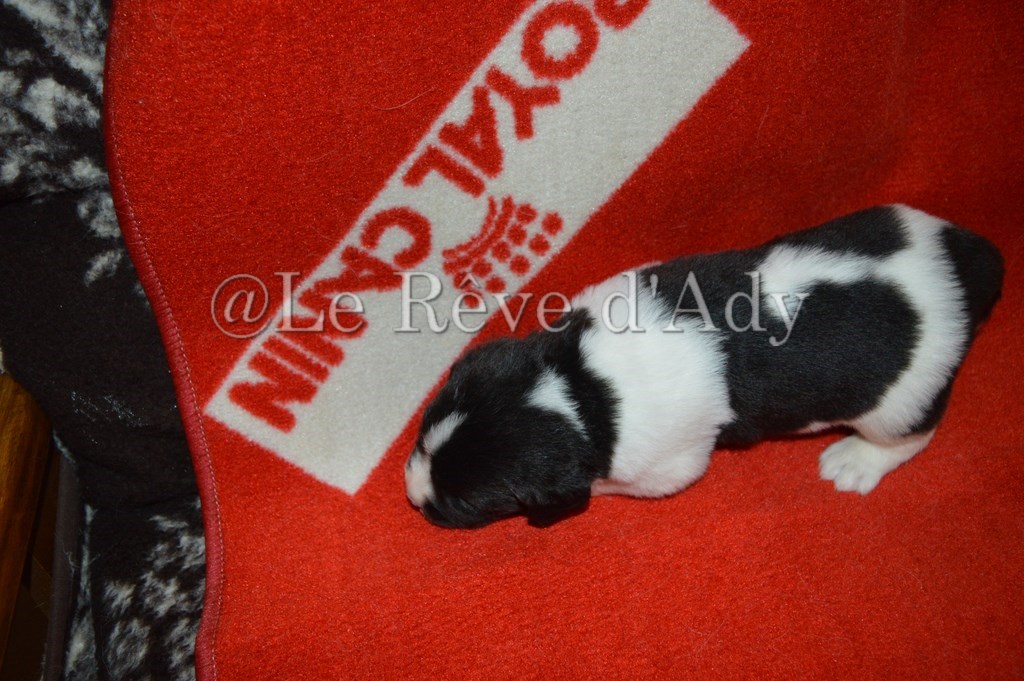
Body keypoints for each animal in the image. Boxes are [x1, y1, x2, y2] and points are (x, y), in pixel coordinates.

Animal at [405, 205, 1003, 528]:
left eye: (464, 502)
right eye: (420, 435)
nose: (412, 494)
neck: (578, 387)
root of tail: (966, 266)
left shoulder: (666, 464)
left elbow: (617, 482)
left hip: (903, 397)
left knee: (910, 436)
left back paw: (856, 461)